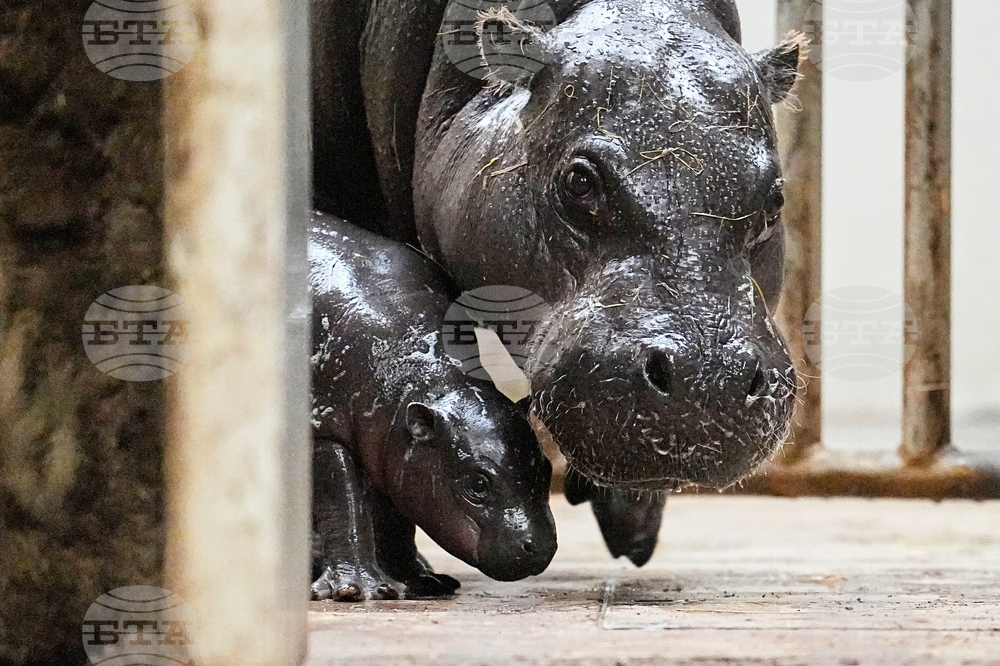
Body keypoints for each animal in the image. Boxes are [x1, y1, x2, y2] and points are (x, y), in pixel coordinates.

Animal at [310, 211, 557, 600]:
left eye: (545, 469)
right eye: (478, 483)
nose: (541, 547)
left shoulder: (392, 449)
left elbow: (396, 519)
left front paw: (422, 582)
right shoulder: (327, 430)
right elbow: (344, 505)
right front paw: (359, 590)